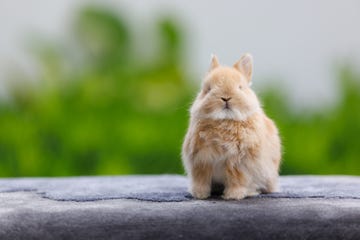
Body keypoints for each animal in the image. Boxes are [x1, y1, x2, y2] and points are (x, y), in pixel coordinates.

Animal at [183, 53, 282, 200]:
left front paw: (233, 196)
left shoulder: (238, 164)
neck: (224, 120)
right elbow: (201, 180)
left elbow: (236, 180)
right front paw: (200, 195)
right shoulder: (201, 161)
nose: (226, 97)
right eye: (208, 89)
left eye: (240, 87)